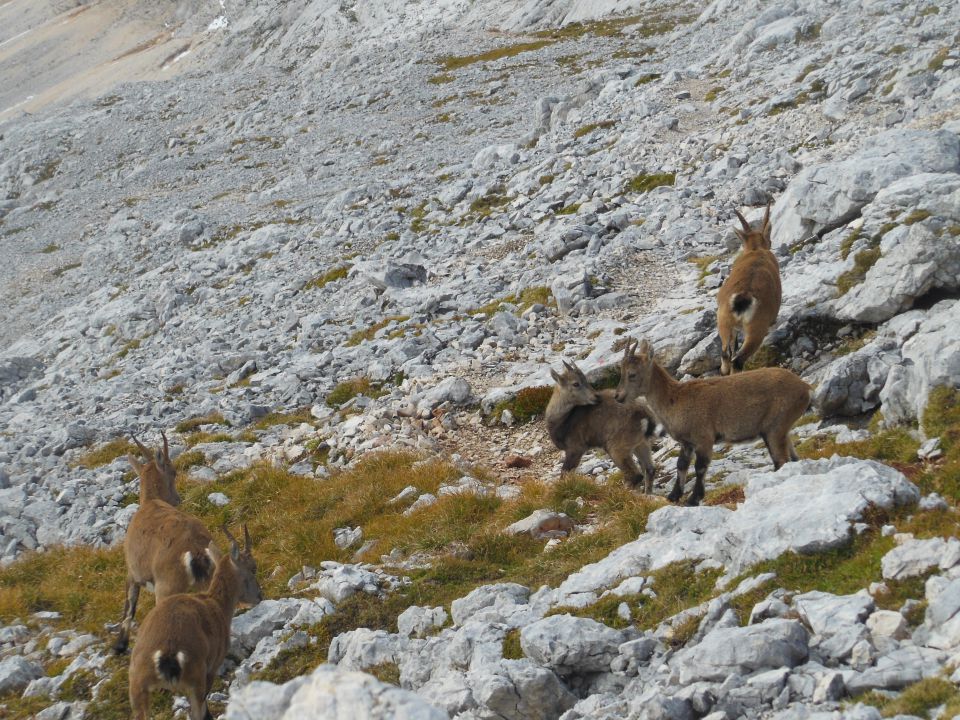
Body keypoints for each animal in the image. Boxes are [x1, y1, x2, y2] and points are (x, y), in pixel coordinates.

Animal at [113, 436, 218, 656]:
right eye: (174, 471)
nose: (177, 500)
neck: (150, 502)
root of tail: (195, 551)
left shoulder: (132, 573)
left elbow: (129, 606)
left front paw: (119, 645)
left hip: (166, 590)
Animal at [129, 524, 262, 720]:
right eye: (253, 568)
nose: (260, 596)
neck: (215, 603)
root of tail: (166, 654)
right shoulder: (212, 667)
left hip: (138, 688)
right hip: (195, 679)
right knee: (197, 711)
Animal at [548, 362, 660, 492]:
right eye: (576, 383)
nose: (597, 396)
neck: (563, 419)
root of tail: (644, 414)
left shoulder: (575, 448)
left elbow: (564, 473)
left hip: (616, 447)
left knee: (635, 475)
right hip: (640, 443)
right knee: (649, 469)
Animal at [616, 340, 808, 504]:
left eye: (632, 374)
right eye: (621, 372)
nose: (618, 397)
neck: (675, 398)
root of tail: (805, 388)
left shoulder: (704, 439)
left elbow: (700, 467)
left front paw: (693, 499)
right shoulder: (687, 443)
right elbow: (681, 465)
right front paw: (673, 496)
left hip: (774, 428)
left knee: (781, 460)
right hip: (781, 430)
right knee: (793, 457)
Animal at [716, 202, 784, 374]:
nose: (771, 242)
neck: (755, 250)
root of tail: (743, 298)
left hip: (723, 321)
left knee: (726, 354)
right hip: (756, 330)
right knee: (738, 360)